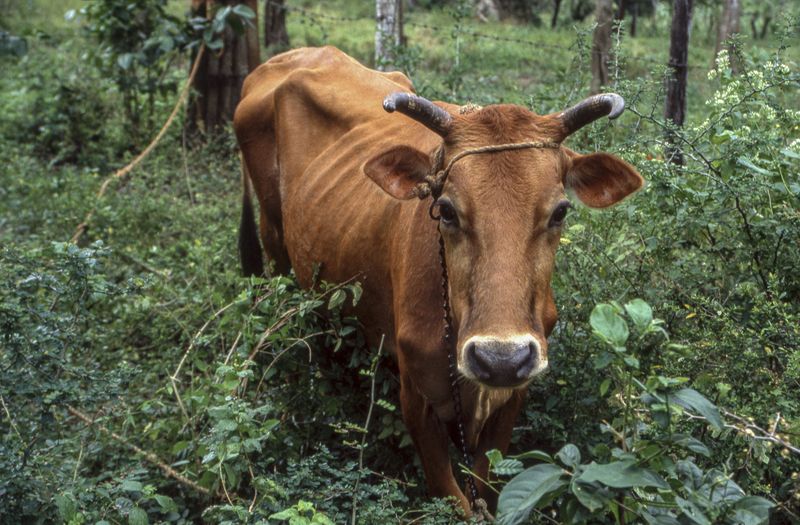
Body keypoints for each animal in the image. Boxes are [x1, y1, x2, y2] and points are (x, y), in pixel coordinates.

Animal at [234, 46, 643, 516]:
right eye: (446, 209)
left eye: (560, 211)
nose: (500, 359)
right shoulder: (416, 395)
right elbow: (451, 497)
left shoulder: (513, 396)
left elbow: (485, 483)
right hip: (274, 242)